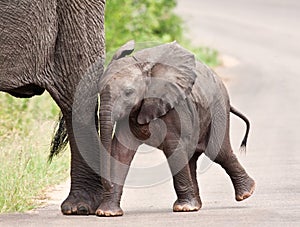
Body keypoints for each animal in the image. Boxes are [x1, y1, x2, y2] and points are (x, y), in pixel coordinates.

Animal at [96, 40, 255, 216]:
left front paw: (184, 208)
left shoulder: (175, 107)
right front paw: (107, 212)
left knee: (218, 151)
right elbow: (121, 152)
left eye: (128, 92)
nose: (107, 184)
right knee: (192, 156)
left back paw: (246, 193)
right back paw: (197, 205)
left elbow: (174, 147)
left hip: (218, 108)